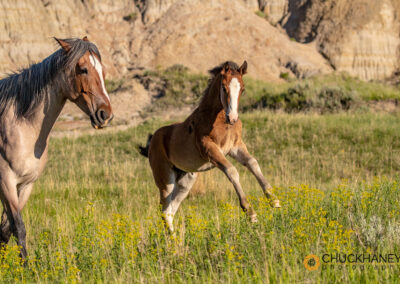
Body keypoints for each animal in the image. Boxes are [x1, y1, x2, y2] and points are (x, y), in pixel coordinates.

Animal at [0, 36, 113, 258]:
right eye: (83, 69)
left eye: (103, 71)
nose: (105, 114)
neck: (21, 124)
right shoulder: (6, 182)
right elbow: (18, 229)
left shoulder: (25, 185)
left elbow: (6, 231)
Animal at [141, 61, 282, 232]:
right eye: (224, 87)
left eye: (242, 88)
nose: (232, 118)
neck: (220, 121)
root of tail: (152, 141)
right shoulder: (211, 150)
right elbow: (232, 171)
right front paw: (250, 213)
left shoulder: (235, 147)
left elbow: (253, 163)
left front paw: (274, 200)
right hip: (165, 180)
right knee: (164, 210)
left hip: (185, 181)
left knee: (170, 211)